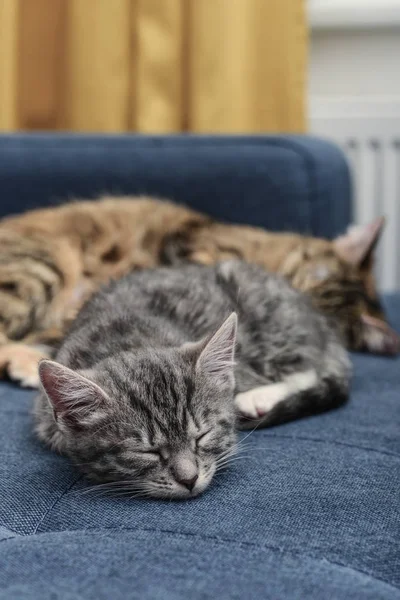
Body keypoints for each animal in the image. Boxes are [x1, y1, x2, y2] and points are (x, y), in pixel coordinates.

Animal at [36, 260, 352, 500]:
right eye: (147, 451)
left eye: (201, 436)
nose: (189, 479)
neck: (127, 340)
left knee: (310, 368)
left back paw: (257, 397)